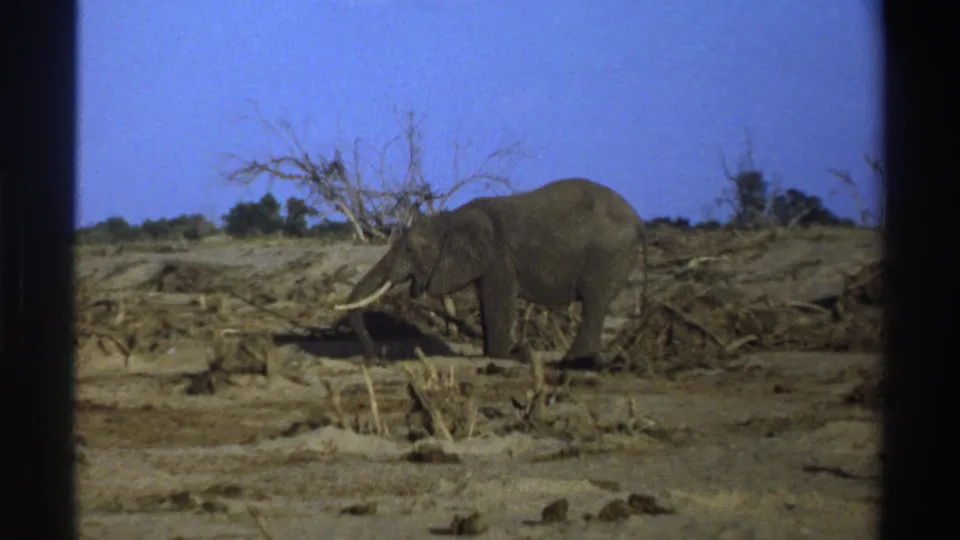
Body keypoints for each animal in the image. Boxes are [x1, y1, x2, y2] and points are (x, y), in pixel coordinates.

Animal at [334, 177, 649, 367]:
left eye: (411, 250)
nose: (377, 354)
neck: (451, 218)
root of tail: (639, 221)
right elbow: (486, 300)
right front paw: (495, 355)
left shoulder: (500, 258)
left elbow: (497, 298)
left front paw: (507, 355)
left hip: (608, 254)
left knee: (594, 302)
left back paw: (572, 362)